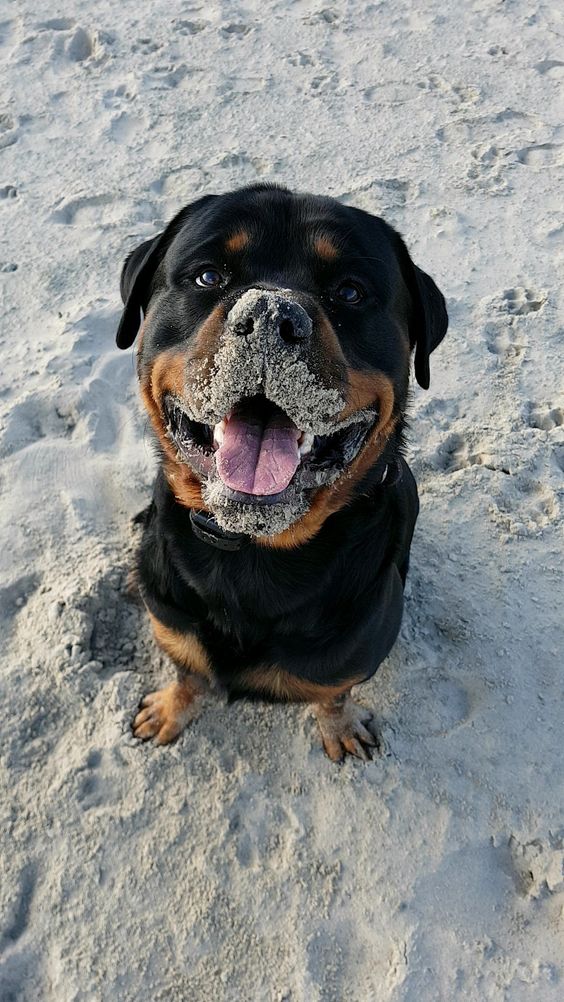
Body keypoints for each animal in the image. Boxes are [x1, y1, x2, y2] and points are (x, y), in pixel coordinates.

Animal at [117, 186, 448, 757]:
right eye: (208, 276)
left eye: (350, 291)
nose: (272, 315)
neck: (254, 554)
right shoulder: (175, 622)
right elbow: (187, 670)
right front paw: (170, 709)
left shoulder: (349, 657)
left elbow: (333, 694)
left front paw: (340, 727)